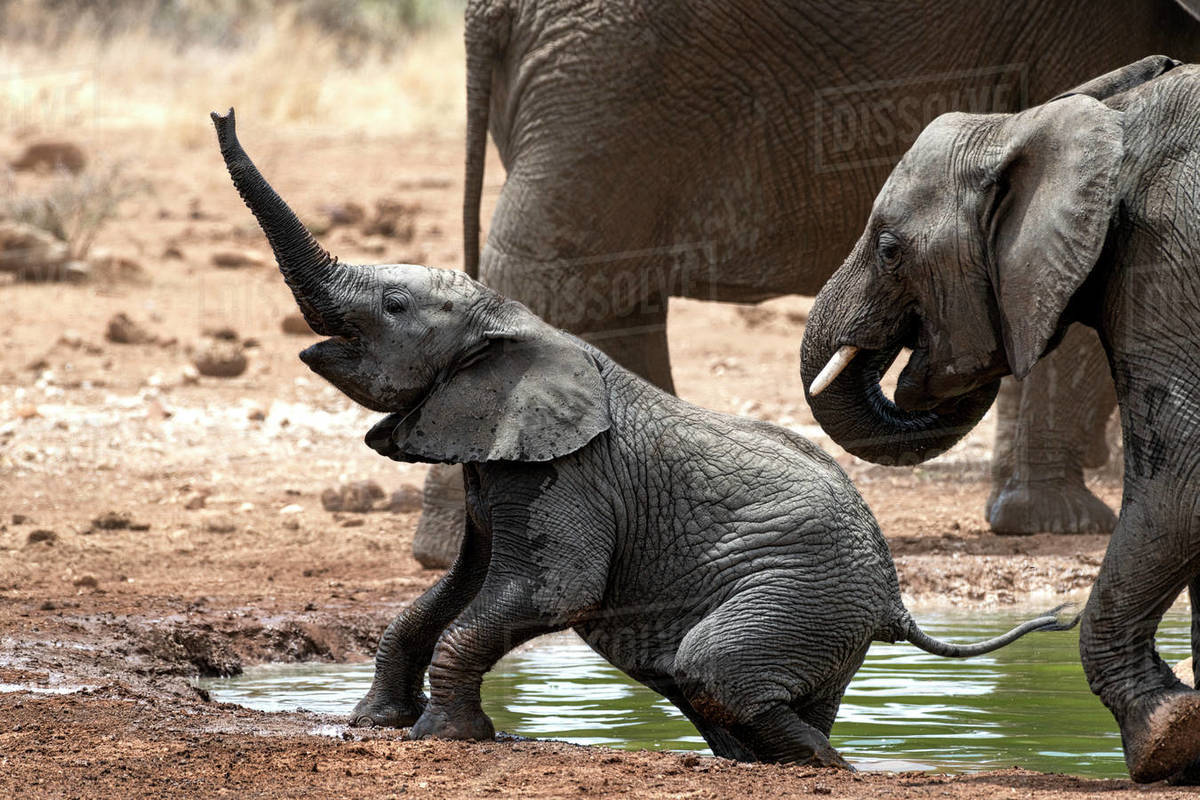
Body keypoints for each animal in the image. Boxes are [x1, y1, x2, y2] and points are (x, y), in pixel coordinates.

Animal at [211, 108, 1078, 766]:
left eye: (393, 305)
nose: (223, 114)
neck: (514, 322)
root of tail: (895, 599)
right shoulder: (499, 462)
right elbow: (454, 590)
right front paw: (375, 724)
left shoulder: (569, 474)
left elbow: (546, 592)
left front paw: (446, 736)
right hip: (824, 615)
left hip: (802, 594)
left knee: (710, 670)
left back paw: (823, 765)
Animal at [408, 0, 1200, 567]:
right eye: (891, 251)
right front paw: (1058, 522)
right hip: (609, 69)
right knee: (550, 258)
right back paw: (458, 553)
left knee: (616, 283)